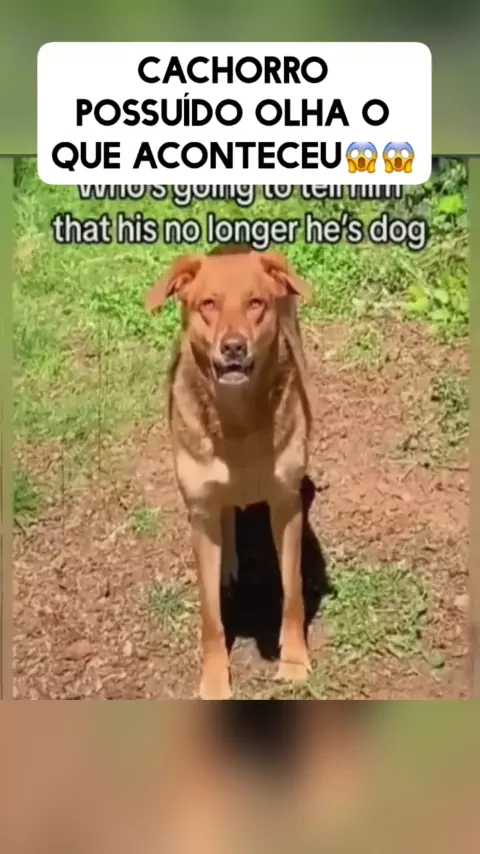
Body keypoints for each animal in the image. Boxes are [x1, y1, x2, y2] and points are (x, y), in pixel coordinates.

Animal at [145, 246, 313, 699]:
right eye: (208, 304)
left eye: (256, 303)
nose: (234, 346)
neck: (236, 420)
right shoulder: (201, 512)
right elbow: (210, 616)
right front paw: (216, 680)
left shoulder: (286, 503)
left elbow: (293, 592)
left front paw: (294, 662)